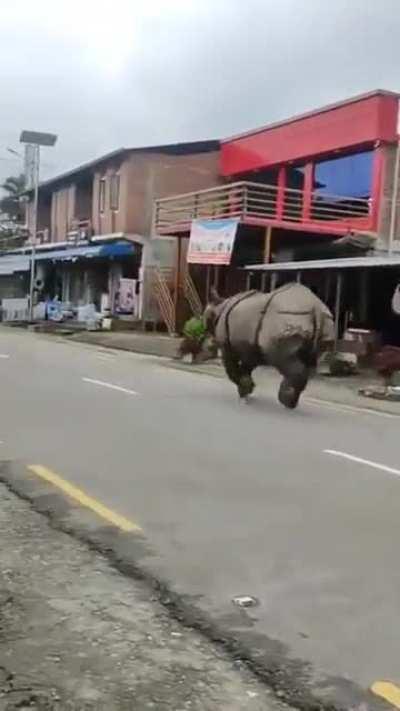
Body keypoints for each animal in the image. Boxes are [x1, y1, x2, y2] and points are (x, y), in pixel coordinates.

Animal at [203, 282, 334, 409]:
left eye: (207, 318)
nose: (205, 331)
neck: (220, 306)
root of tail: (316, 310)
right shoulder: (251, 349)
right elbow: (246, 367)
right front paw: (247, 389)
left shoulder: (226, 346)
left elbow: (231, 368)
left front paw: (245, 391)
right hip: (321, 322)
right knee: (310, 360)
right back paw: (291, 402)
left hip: (287, 319)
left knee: (283, 359)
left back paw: (285, 401)